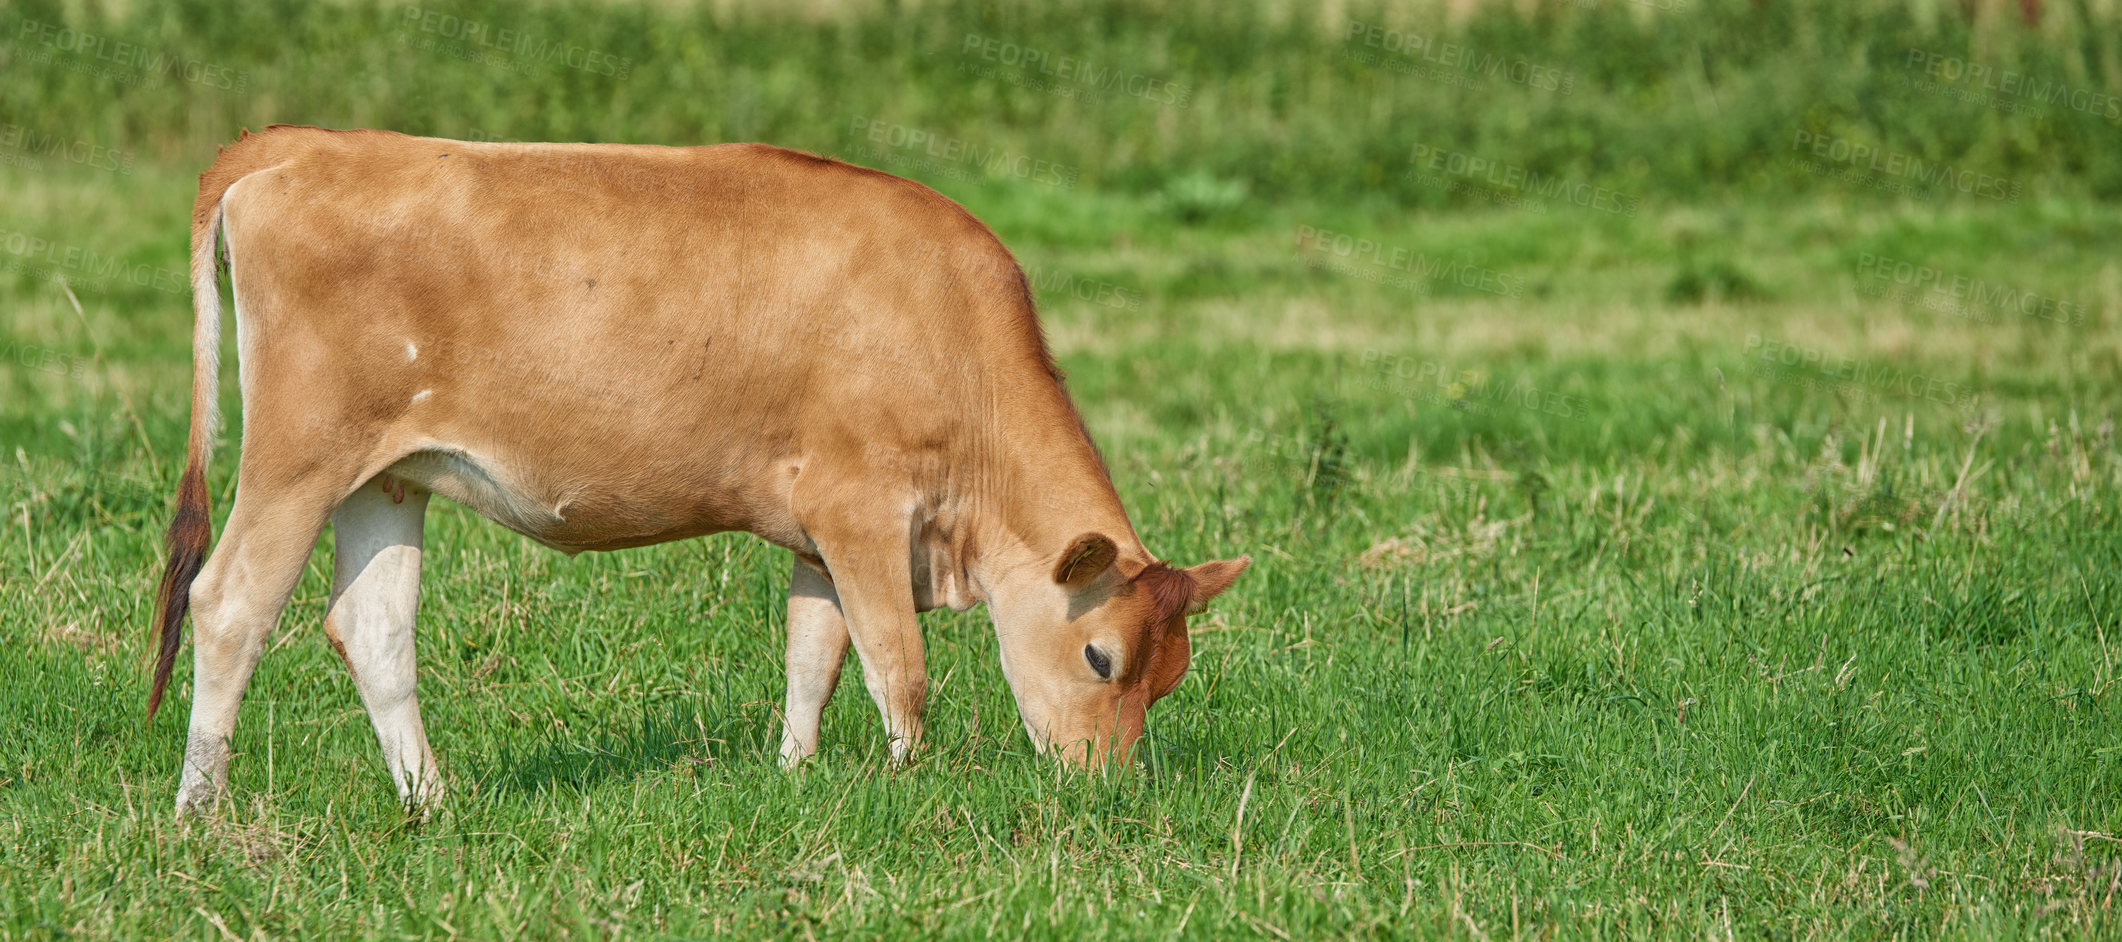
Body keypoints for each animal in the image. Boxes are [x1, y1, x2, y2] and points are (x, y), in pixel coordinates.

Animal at [153, 125, 1239, 814]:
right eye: (1100, 658)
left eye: (1172, 677)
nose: (1103, 787)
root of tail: (303, 140)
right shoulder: (862, 506)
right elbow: (898, 666)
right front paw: (905, 788)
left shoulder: (816, 527)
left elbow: (814, 657)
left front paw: (796, 779)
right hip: (299, 453)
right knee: (230, 602)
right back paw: (201, 808)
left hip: (387, 474)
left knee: (373, 629)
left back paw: (431, 801)